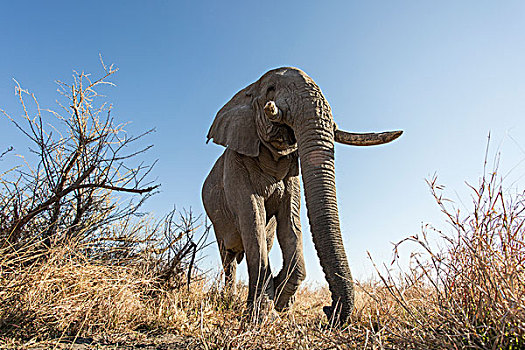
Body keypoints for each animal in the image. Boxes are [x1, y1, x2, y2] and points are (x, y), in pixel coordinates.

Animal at [201, 67, 402, 324]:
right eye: (270, 89)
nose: (328, 310)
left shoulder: (291, 175)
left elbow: (290, 225)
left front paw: (280, 301)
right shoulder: (236, 166)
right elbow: (253, 220)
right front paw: (261, 316)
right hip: (216, 220)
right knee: (229, 258)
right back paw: (228, 299)